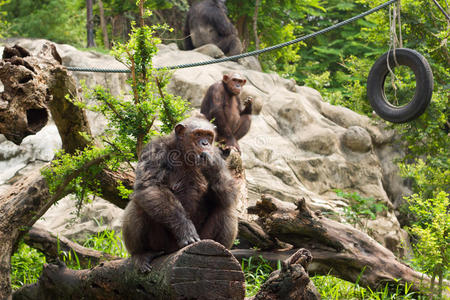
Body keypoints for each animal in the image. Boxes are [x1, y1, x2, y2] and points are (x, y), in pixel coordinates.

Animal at [119, 114, 239, 272]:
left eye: (209, 135)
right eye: (198, 134)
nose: (205, 143)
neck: (182, 151)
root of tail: (175, 251)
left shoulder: (221, 158)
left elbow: (229, 191)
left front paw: (211, 163)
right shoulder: (154, 150)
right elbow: (150, 185)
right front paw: (185, 229)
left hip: (204, 237)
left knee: (226, 206)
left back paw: (222, 251)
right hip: (162, 244)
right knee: (139, 204)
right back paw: (141, 254)